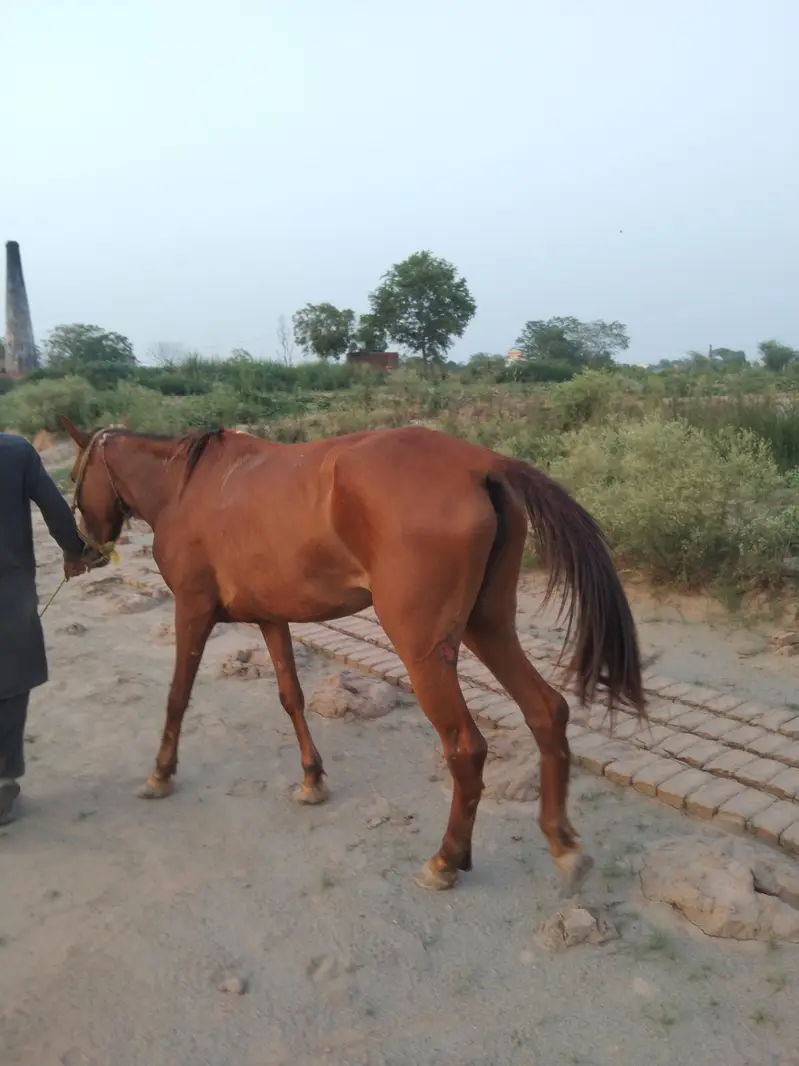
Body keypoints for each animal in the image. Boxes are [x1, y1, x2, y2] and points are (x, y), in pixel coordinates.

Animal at [60, 416, 645, 894]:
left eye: (72, 477)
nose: (82, 551)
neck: (187, 489)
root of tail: (484, 465)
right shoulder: (271, 618)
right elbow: (291, 696)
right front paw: (312, 779)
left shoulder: (192, 610)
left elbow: (178, 696)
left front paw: (160, 774)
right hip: (490, 625)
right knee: (546, 711)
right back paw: (563, 844)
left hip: (424, 649)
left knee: (466, 747)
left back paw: (446, 859)